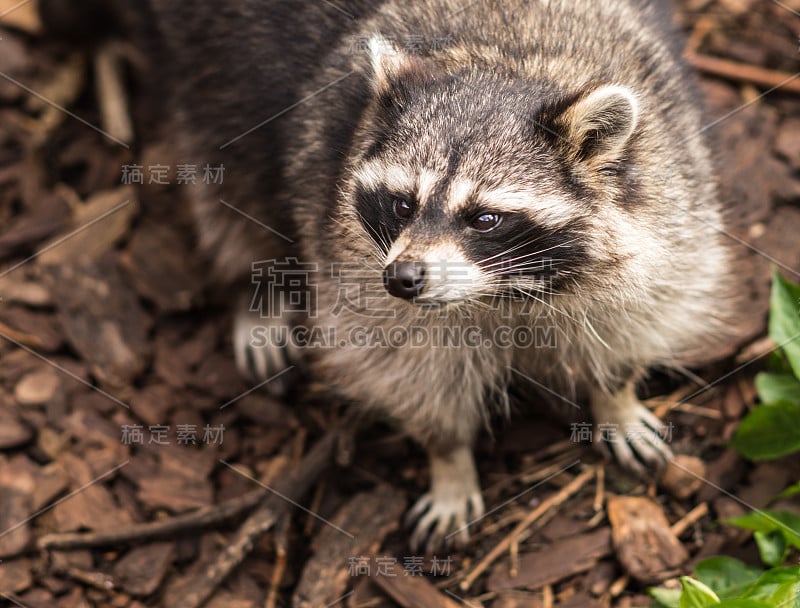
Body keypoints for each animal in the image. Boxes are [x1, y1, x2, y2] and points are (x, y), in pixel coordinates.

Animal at [40, 0, 736, 552]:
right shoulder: (349, 252)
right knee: (228, 176)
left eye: (484, 218)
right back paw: (257, 292)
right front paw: (449, 459)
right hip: (211, 66)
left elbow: (636, 309)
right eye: (402, 204)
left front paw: (616, 393)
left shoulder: (669, 193)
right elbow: (408, 368)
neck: (506, 57)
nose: (404, 278)